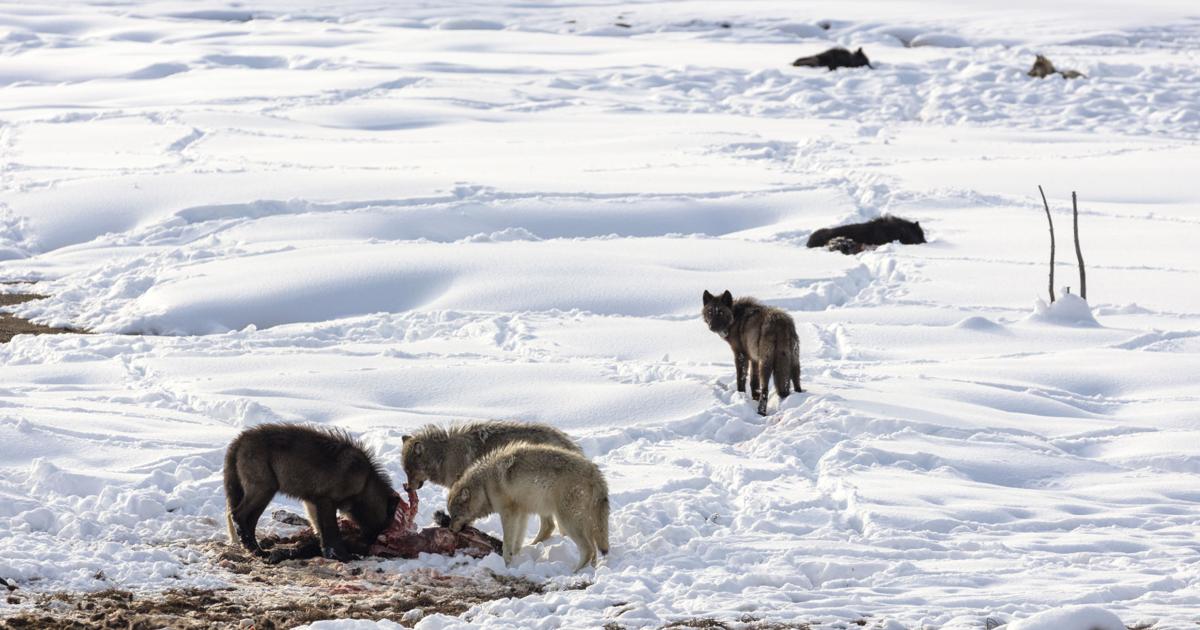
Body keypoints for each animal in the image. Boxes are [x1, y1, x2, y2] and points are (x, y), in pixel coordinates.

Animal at [224, 424, 400, 562]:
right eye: (384, 527)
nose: (369, 547)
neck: (365, 482)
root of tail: (239, 440)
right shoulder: (326, 501)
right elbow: (332, 532)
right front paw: (343, 556)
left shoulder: (312, 503)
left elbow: (320, 531)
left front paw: (327, 553)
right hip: (264, 491)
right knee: (237, 515)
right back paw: (255, 550)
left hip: (263, 495)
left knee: (248, 521)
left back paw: (256, 550)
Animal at [402, 421, 580, 545]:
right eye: (405, 471)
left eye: (410, 471)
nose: (408, 488)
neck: (445, 456)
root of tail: (568, 444)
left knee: (549, 525)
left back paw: (533, 546)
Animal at [446, 442, 609, 572]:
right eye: (451, 515)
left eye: (455, 515)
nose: (450, 529)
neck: (485, 485)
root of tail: (595, 474)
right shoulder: (521, 513)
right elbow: (517, 541)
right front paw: (516, 556)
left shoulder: (508, 513)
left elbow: (507, 542)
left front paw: (506, 563)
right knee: (594, 549)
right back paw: (591, 569)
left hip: (567, 521)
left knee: (588, 549)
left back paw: (575, 572)